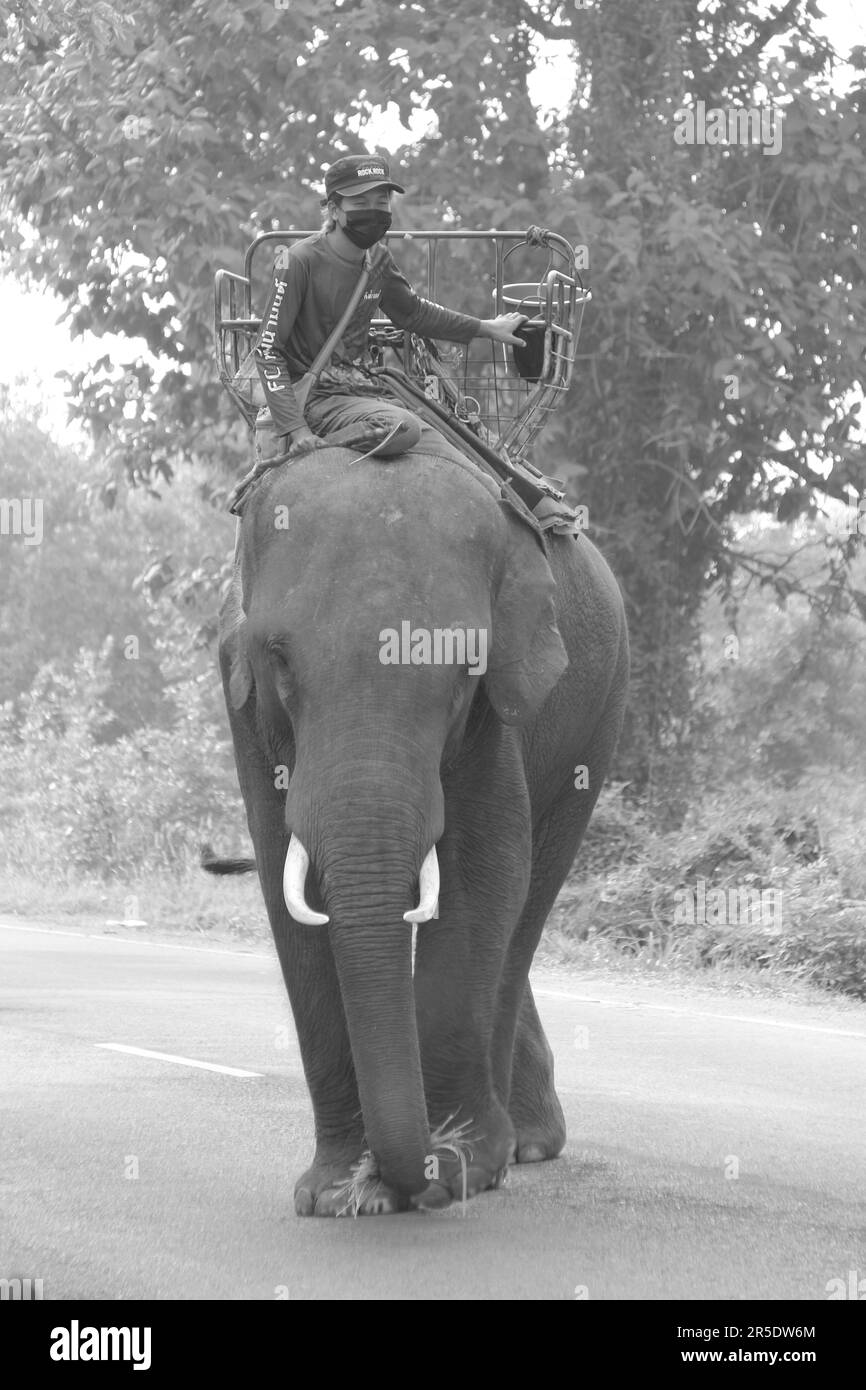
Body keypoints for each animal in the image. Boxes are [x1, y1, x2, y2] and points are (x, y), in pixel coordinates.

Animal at [214, 444, 625, 1217]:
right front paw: (335, 1192)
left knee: (530, 900)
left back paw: (518, 1150)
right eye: (278, 660)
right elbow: (285, 879)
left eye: (465, 668)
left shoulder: (500, 703)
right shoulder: (243, 704)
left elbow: (487, 868)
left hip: (600, 716)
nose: (402, 1176)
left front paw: (456, 1169)